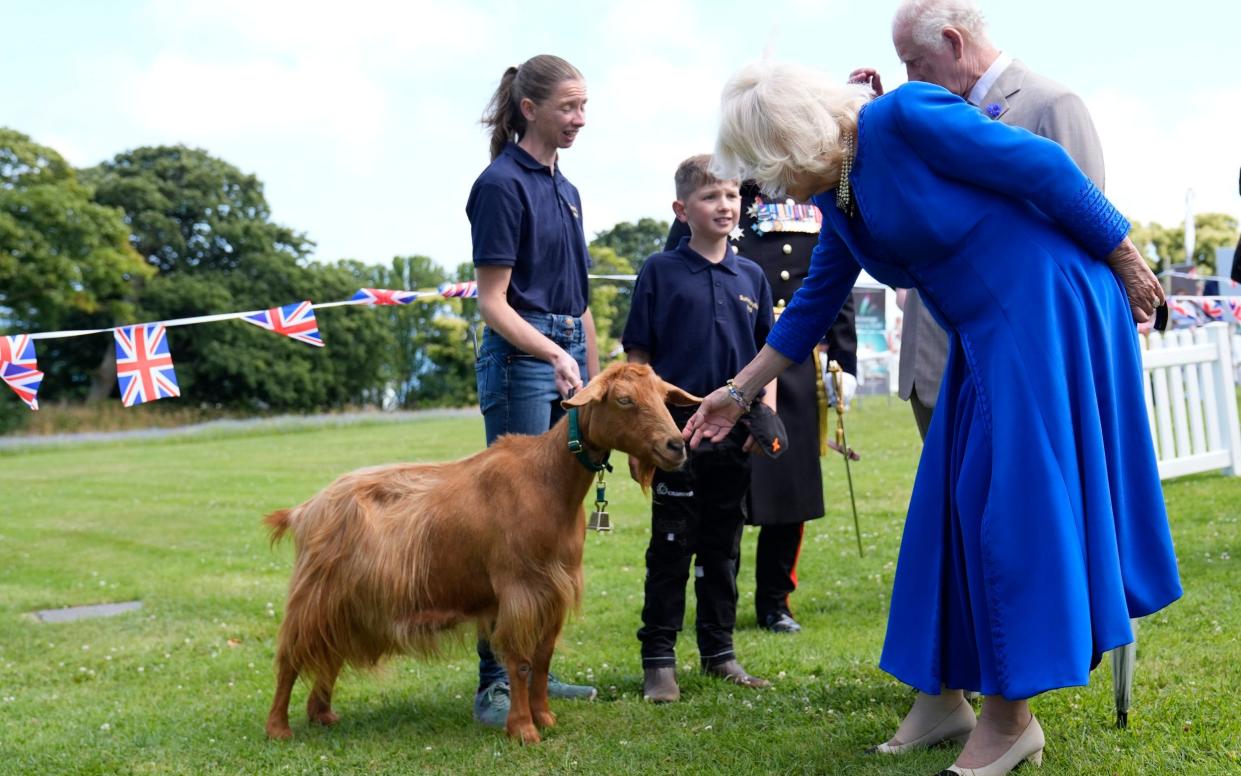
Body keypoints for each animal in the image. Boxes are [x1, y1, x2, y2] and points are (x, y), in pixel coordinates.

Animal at [261, 362, 699, 744]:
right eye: (624, 399)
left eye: (664, 397)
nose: (676, 446)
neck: (547, 481)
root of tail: (304, 510)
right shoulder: (519, 590)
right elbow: (520, 662)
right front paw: (523, 730)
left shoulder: (554, 591)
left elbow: (543, 658)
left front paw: (545, 717)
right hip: (314, 594)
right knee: (289, 657)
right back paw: (278, 728)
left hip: (346, 602)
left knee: (328, 652)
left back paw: (322, 714)